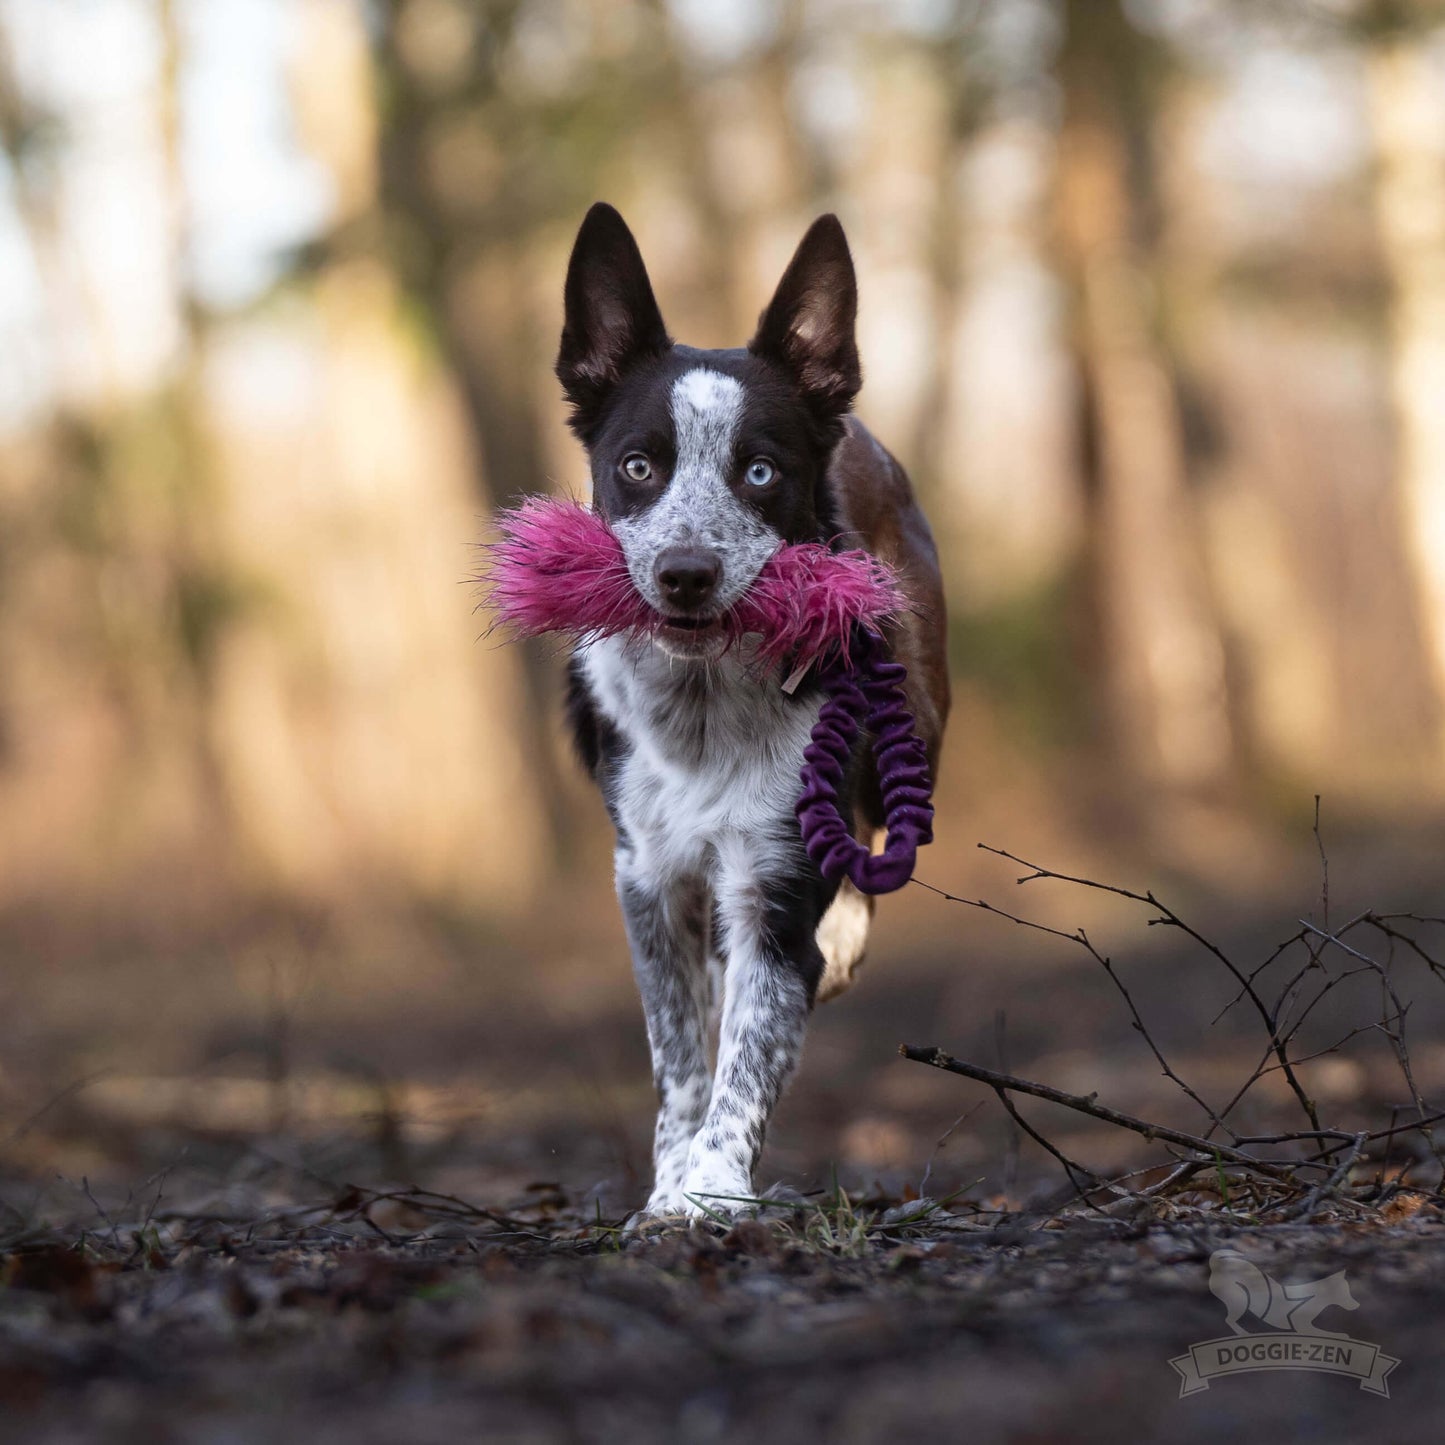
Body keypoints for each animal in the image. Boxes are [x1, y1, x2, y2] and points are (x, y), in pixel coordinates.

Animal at [551, 203, 947, 1219]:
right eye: (637, 465)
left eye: (761, 473)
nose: (685, 573)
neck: (701, 710)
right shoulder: (646, 879)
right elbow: (682, 1051)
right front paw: (671, 1187)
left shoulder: (773, 871)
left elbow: (752, 1040)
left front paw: (713, 1190)